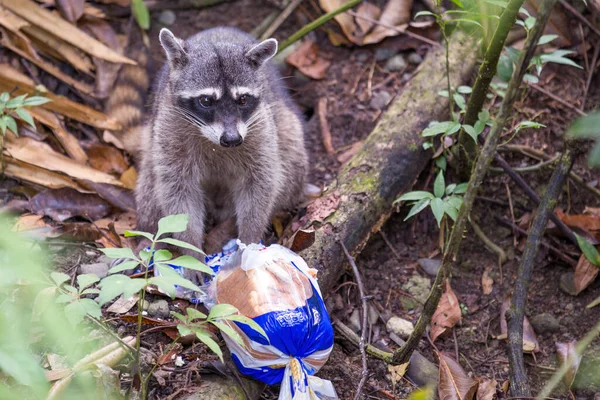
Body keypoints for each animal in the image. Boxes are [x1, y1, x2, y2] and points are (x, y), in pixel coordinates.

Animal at [136, 26, 310, 255]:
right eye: (206, 101)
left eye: (243, 99)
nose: (232, 139)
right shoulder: (169, 130)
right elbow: (178, 192)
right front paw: (191, 249)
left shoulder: (260, 129)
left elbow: (261, 184)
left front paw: (248, 240)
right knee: (149, 183)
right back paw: (149, 238)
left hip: (288, 131)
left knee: (290, 168)